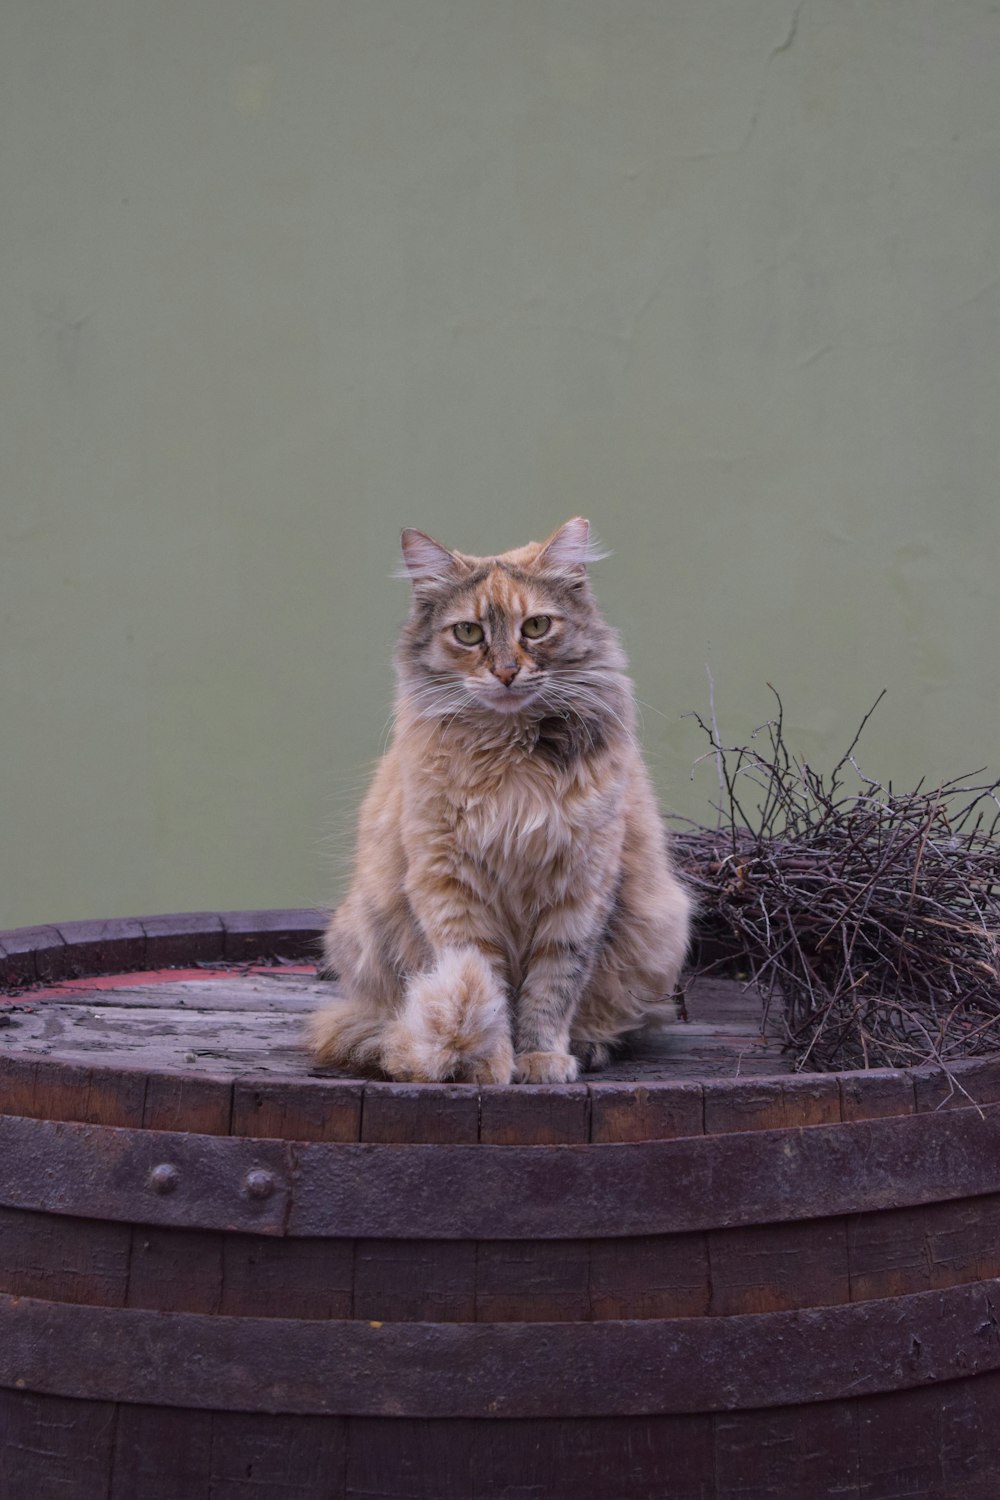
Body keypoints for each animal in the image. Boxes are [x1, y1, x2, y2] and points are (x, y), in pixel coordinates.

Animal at [308, 516, 692, 1080]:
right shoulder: (451, 887)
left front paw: (541, 1058)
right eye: (468, 633)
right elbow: (487, 987)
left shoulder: (579, 889)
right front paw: (488, 1062)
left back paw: (588, 1046)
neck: (510, 760)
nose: (507, 672)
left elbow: (550, 991)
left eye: (536, 627)